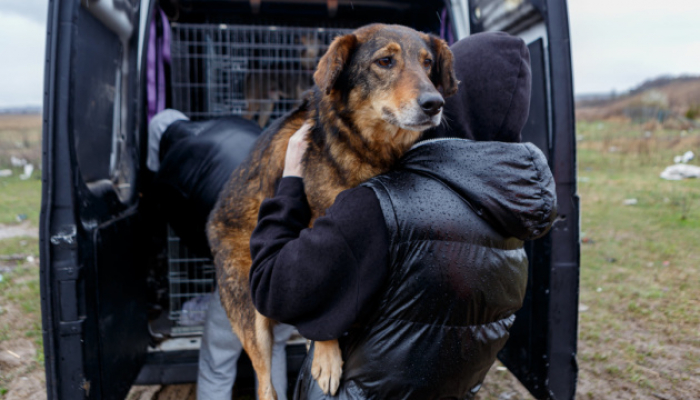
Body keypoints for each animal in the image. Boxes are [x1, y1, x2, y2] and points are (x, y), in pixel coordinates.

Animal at [208, 23, 460, 398]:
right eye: (385, 62)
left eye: (428, 63)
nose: (434, 104)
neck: (366, 147)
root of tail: (212, 223)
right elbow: (322, 305)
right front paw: (327, 358)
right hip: (250, 314)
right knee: (265, 384)